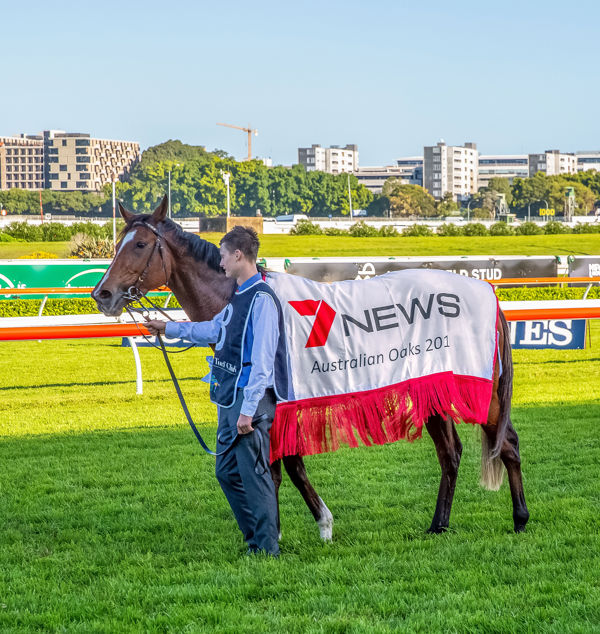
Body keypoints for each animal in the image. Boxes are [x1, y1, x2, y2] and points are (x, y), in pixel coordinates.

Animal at [90, 196, 528, 540]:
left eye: (141, 243)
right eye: (117, 241)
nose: (102, 293)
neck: (246, 296)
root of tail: (488, 294)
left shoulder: (273, 403)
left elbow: (282, 468)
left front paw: (308, 526)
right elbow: (286, 466)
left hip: (483, 392)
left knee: (506, 443)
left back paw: (520, 519)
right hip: (432, 388)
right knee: (450, 454)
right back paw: (439, 524)